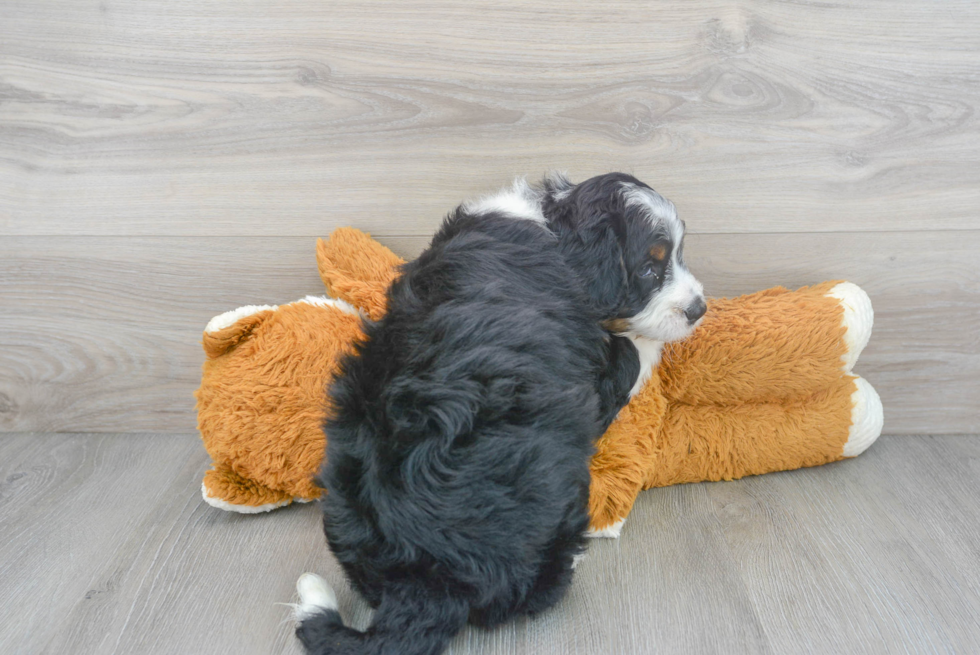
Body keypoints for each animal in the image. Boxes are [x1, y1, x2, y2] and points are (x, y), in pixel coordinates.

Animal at [290, 173, 704, 655]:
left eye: (679, 253)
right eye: (649, 269)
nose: (699, 308)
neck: (555, 228)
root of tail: (426, 581)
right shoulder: (596, 381)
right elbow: (634, 354)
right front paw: (649, 342)